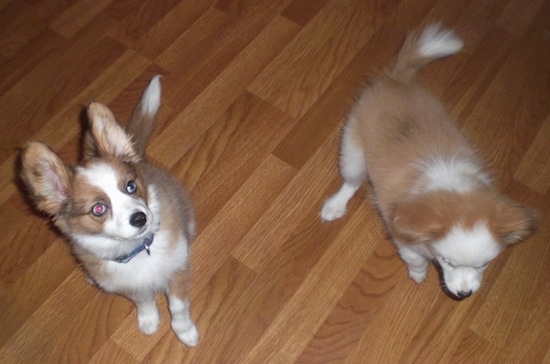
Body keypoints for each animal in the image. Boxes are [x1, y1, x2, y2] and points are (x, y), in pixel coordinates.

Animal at [20, 75, 201, 346]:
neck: (138, 251)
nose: (140, 218)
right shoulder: (129, 285)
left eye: (130, 186)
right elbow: (144, 301)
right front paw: (149, 320)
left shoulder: (176, 271)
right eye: (98, 208)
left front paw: (186, 332)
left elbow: (178, 307)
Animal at [322, 24, 540, 300]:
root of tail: (398, 79)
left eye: (484, 264)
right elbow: (415, 259)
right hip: (353, 152)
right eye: (447, 262)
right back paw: (334, 206)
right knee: (351, 182)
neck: (451, 185)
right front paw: (418, 275)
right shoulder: (405, 239)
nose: (464, 294)